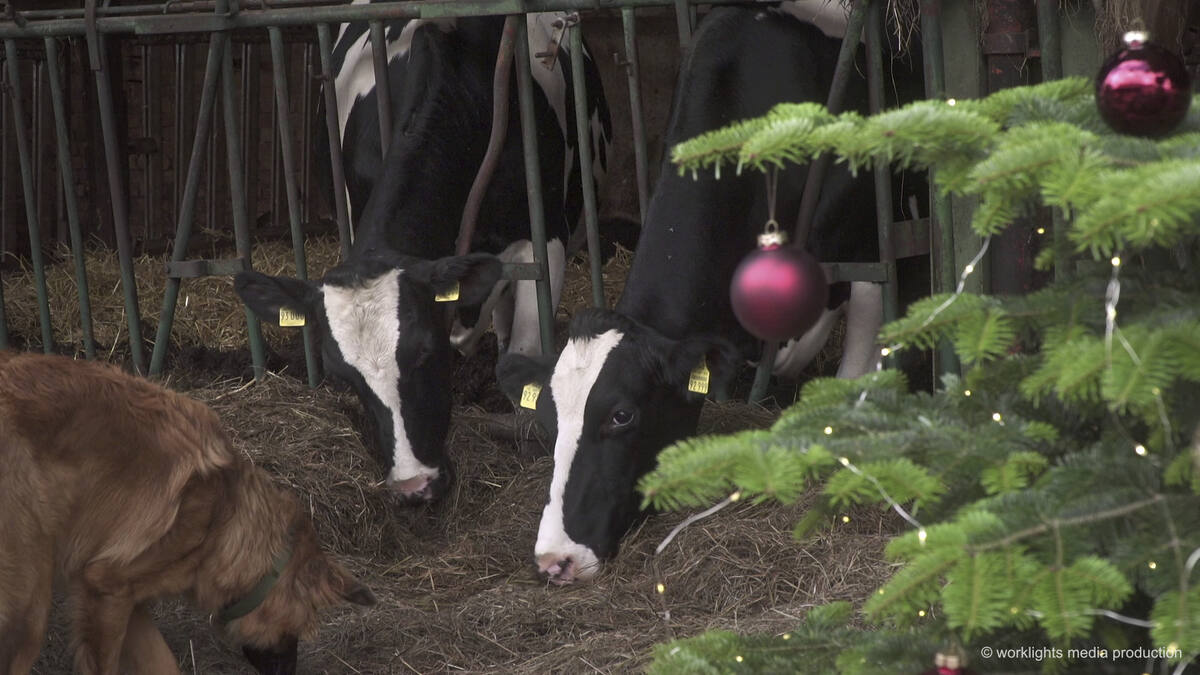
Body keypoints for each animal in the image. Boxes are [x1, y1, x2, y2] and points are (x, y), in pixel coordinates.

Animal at [0, 351, 375, 675]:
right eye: (300, 628)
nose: (287, 674)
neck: (225, 516)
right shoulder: (105, 592)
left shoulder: (125, 597)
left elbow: (163, 664)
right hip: (29, 607)